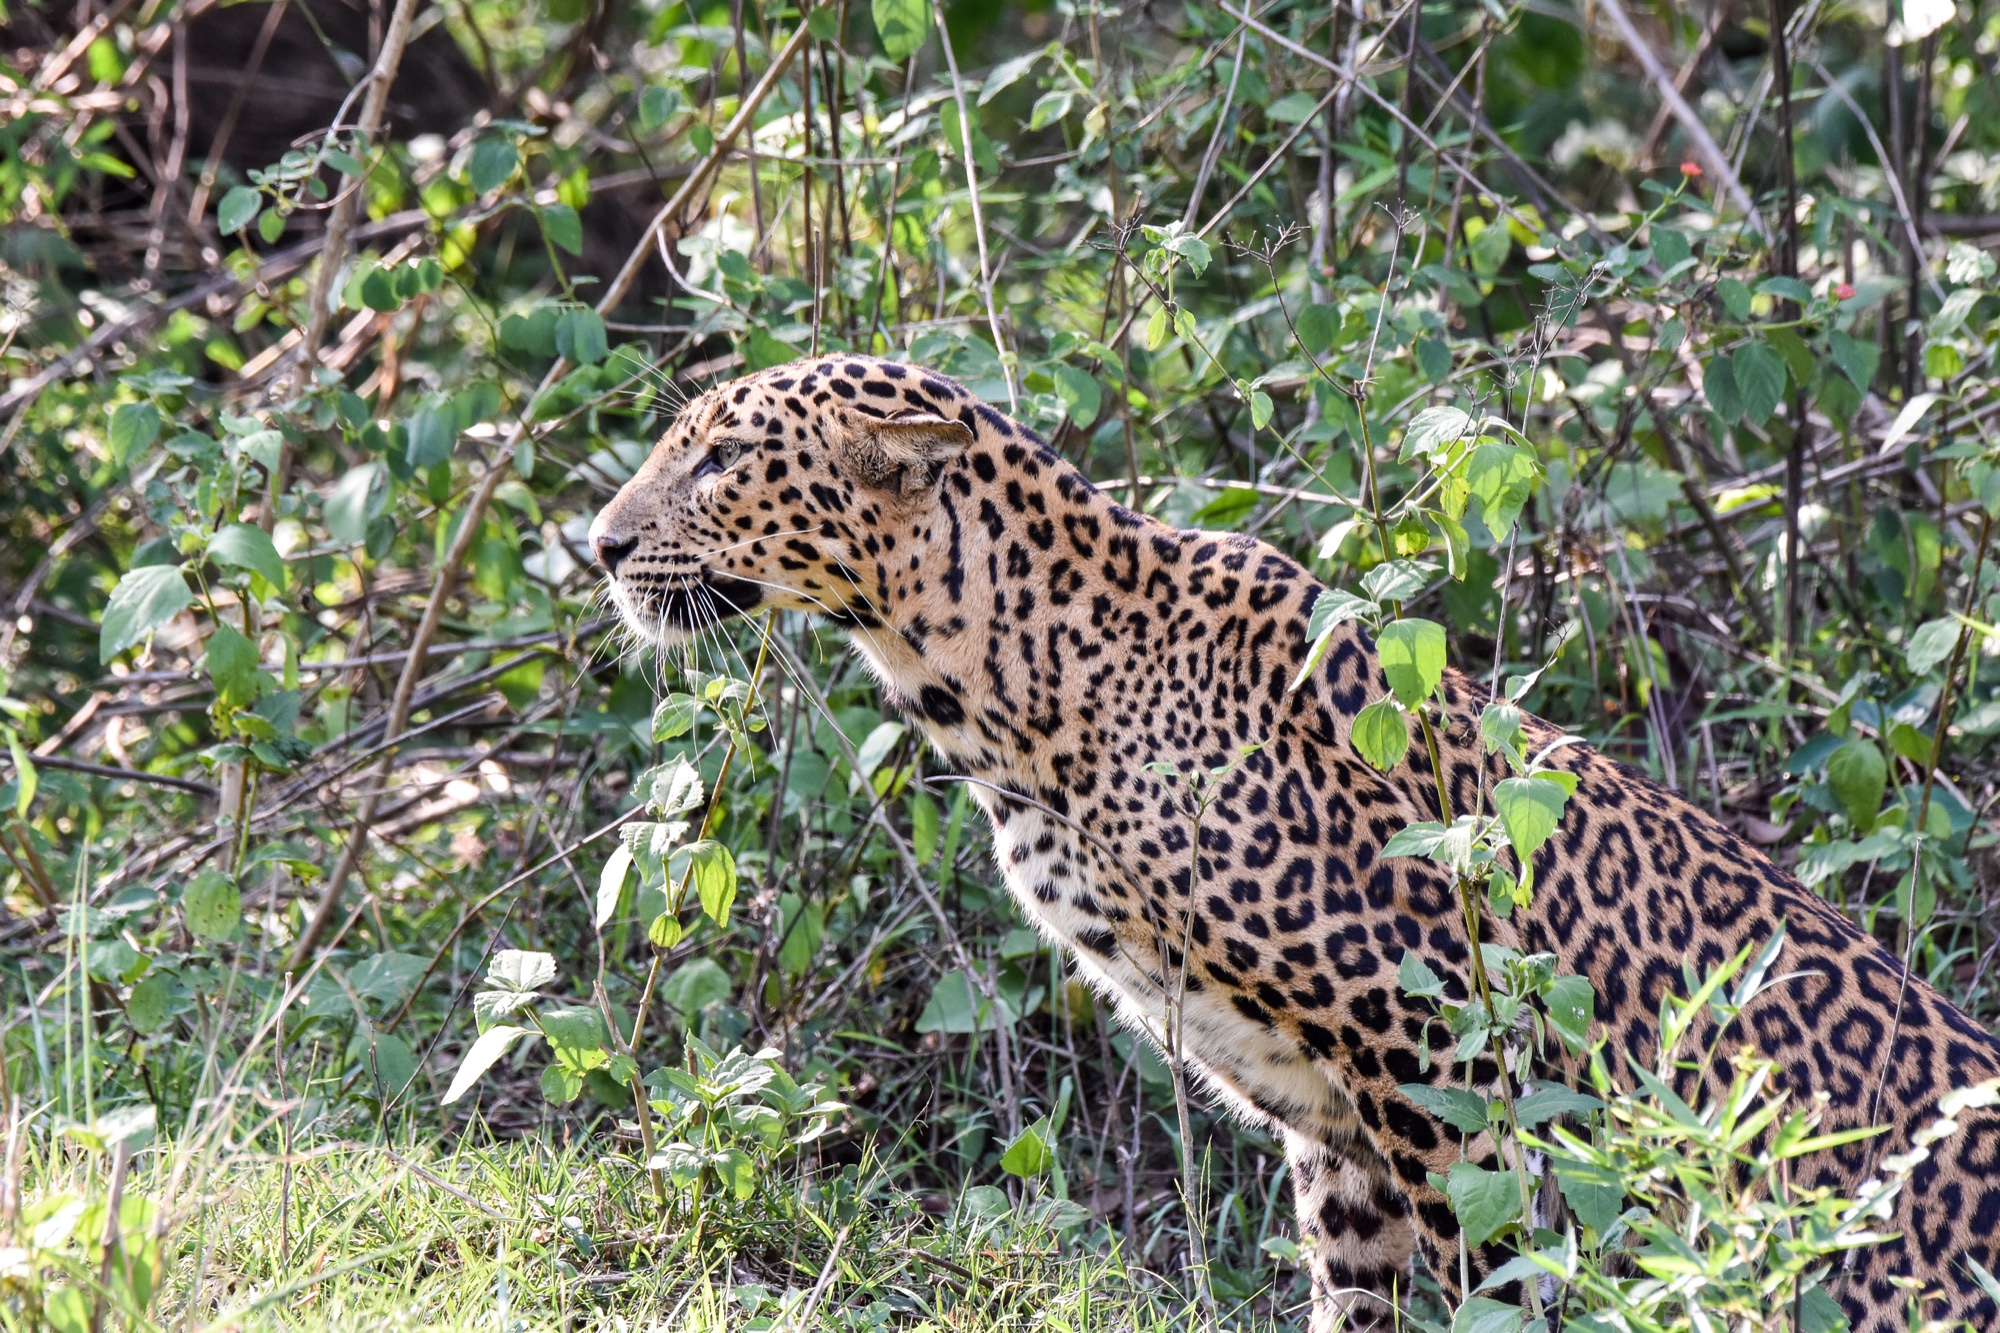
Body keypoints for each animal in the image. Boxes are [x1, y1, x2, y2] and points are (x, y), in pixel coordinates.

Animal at [589, 352, 2000, 1332]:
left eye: (720, 459)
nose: (598, 546)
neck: (1008, 695)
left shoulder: (1441, 1049)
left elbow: (1489, 1277)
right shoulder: (1337, 1123)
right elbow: (1358, 1293)